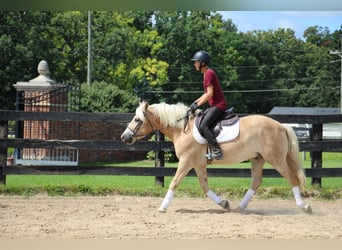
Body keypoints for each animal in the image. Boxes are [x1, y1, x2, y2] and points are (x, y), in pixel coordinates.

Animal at [120, 101, 312, 213]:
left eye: (137, 120)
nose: (124, 137)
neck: (182, 129)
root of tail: (281, 125)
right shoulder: (198, 164)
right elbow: (204, 186)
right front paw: (224, 204)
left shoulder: (186, 161)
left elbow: (174, 182)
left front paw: (162, 207)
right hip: (258, 159)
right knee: (256, 182)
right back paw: (240, 207)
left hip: (276, 159)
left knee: (292, 178)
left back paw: (304, 207)